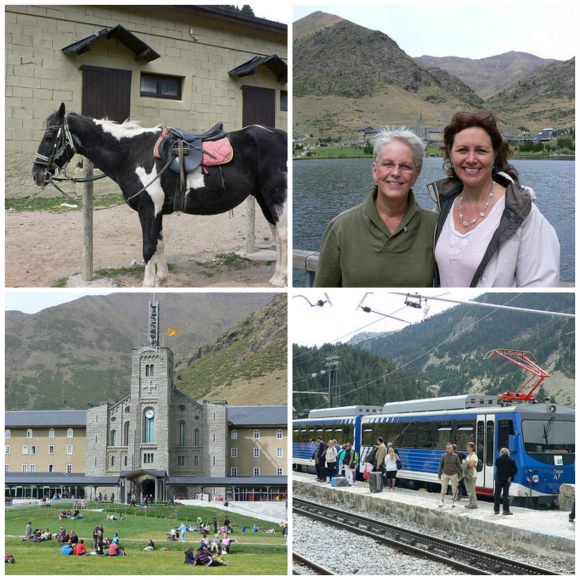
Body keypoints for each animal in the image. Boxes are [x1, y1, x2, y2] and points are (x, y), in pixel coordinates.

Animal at [29, 103, 288, 288]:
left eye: (50, 137)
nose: (37, 174)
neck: (131, 153)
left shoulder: (148, 208)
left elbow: (148, 246)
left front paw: (148, 283)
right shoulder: (157, 210)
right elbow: (160, 243)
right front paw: (162, 279)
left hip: (274, 196)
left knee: (283, 235)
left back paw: (281, 279)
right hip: (262, 198)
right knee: (277, 235)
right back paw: (277, 276)